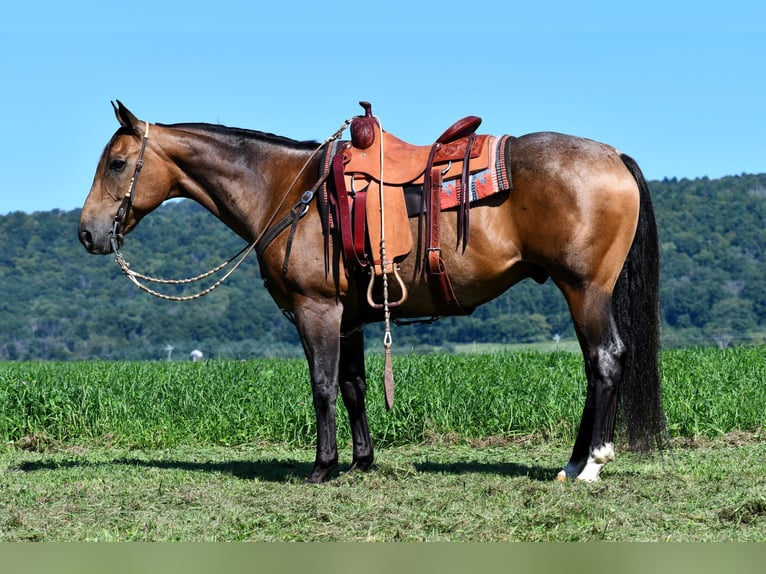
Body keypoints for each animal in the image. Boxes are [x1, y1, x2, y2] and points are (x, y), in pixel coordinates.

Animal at [78, 101, 664, 484]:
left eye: (117, 163)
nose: (87, 233)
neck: (288, 190)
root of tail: (614, 156)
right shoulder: (351, 316)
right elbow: (354, 386)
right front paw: (362, 460)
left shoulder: (316, 309)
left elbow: (322, 385)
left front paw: (323, 467)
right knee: (594, 365)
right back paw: (572, 462)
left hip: (585, 289)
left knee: (605, 360)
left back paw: (591, 463)